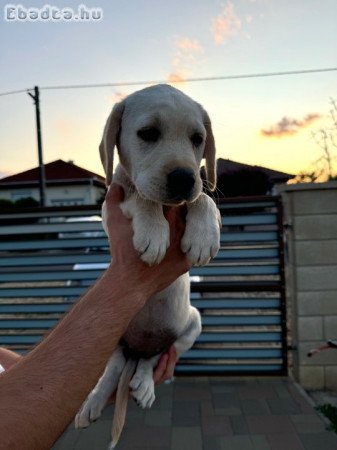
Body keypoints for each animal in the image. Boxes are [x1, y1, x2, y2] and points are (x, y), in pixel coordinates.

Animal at [74, 84, 220, 446]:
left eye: (198, 139)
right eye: (148, 134)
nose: (183, 178)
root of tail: (138, 348)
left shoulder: (196, 190)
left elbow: (203, 197)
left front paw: (203, 236)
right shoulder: (112, 204)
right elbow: (141, 196)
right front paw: (154, 232)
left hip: (190, 325)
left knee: (156, 357)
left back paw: (144, 384)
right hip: (112, 333)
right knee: (113, 367)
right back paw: (93, 401)